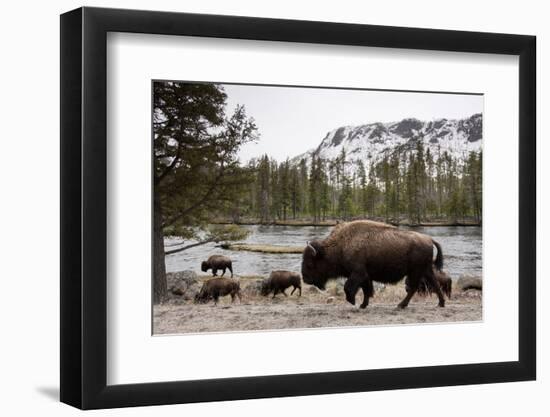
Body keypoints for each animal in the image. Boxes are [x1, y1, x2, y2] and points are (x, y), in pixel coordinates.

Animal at [302, 219, 448, 308]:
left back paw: (401, 305)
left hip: (416, 272)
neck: (340, 245)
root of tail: (429, 239)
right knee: (434, 285)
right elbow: (366, 290)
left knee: (413, 288)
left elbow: (348, 287)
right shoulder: (366, 276)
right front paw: (362, 305)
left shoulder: (358, 273)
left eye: (310, 264)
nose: (305, 279)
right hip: (425, 270)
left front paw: (353, 301)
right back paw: (440, 303)